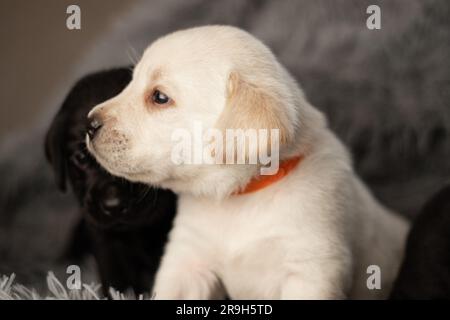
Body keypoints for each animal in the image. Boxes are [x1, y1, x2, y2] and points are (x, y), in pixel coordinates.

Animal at [86, 25, 410, 300]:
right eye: (131, 81)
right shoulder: (188, 260)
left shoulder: (311, 267)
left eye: (159, 97)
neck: (240, 196)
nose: (89, 124)